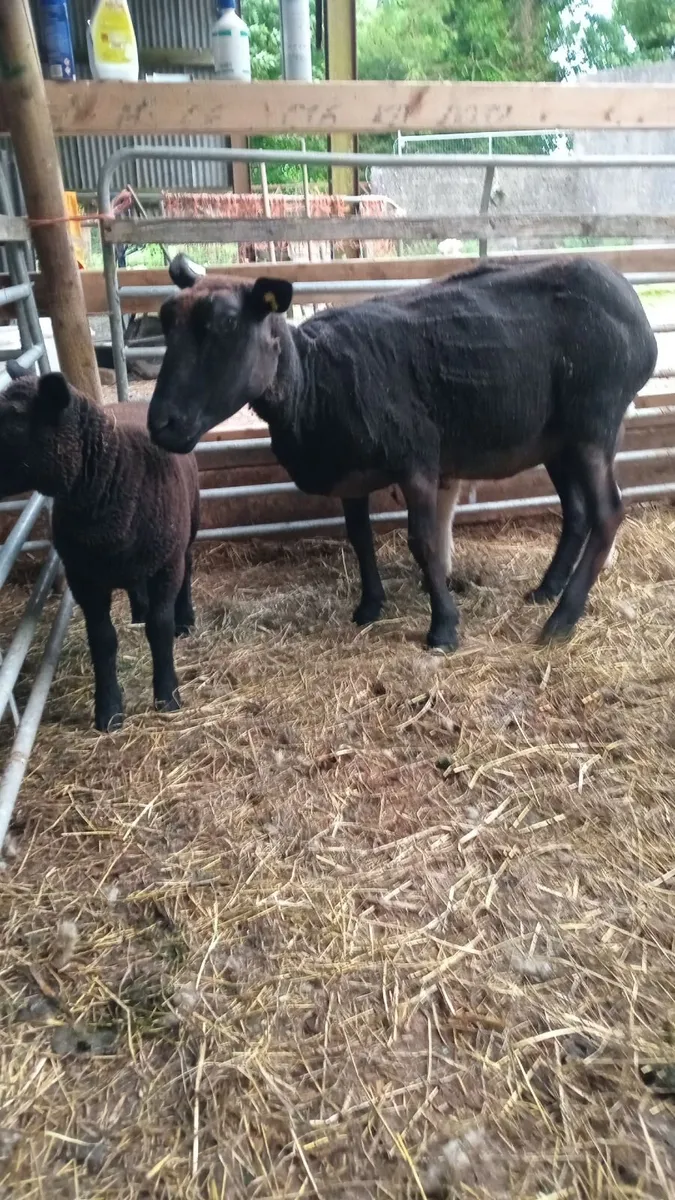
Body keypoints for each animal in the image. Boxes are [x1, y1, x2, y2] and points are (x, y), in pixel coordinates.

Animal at [0, 368, 199, 732]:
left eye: (14, 422)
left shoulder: (165, 564)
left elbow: (160, 628)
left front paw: (167, 696)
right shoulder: (83, 578)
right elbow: (102, 639)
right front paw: (108, 710)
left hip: (189, 522)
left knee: (188, 563)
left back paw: (185, 619)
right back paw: (139, 609)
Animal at [147, 255, 656, 650]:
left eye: (226, 324)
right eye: (166, 321)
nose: (161, 425)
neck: (312, 381)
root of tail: (637, 314)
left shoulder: (417, 462)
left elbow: (424, 542)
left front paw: (443, 629)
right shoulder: (350, 474)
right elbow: (359, 537)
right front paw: (369, 606)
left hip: (594, 422)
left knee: (607, 513)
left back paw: (561, 620)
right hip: (558, 438)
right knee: (577, 512)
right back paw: (546, 591)